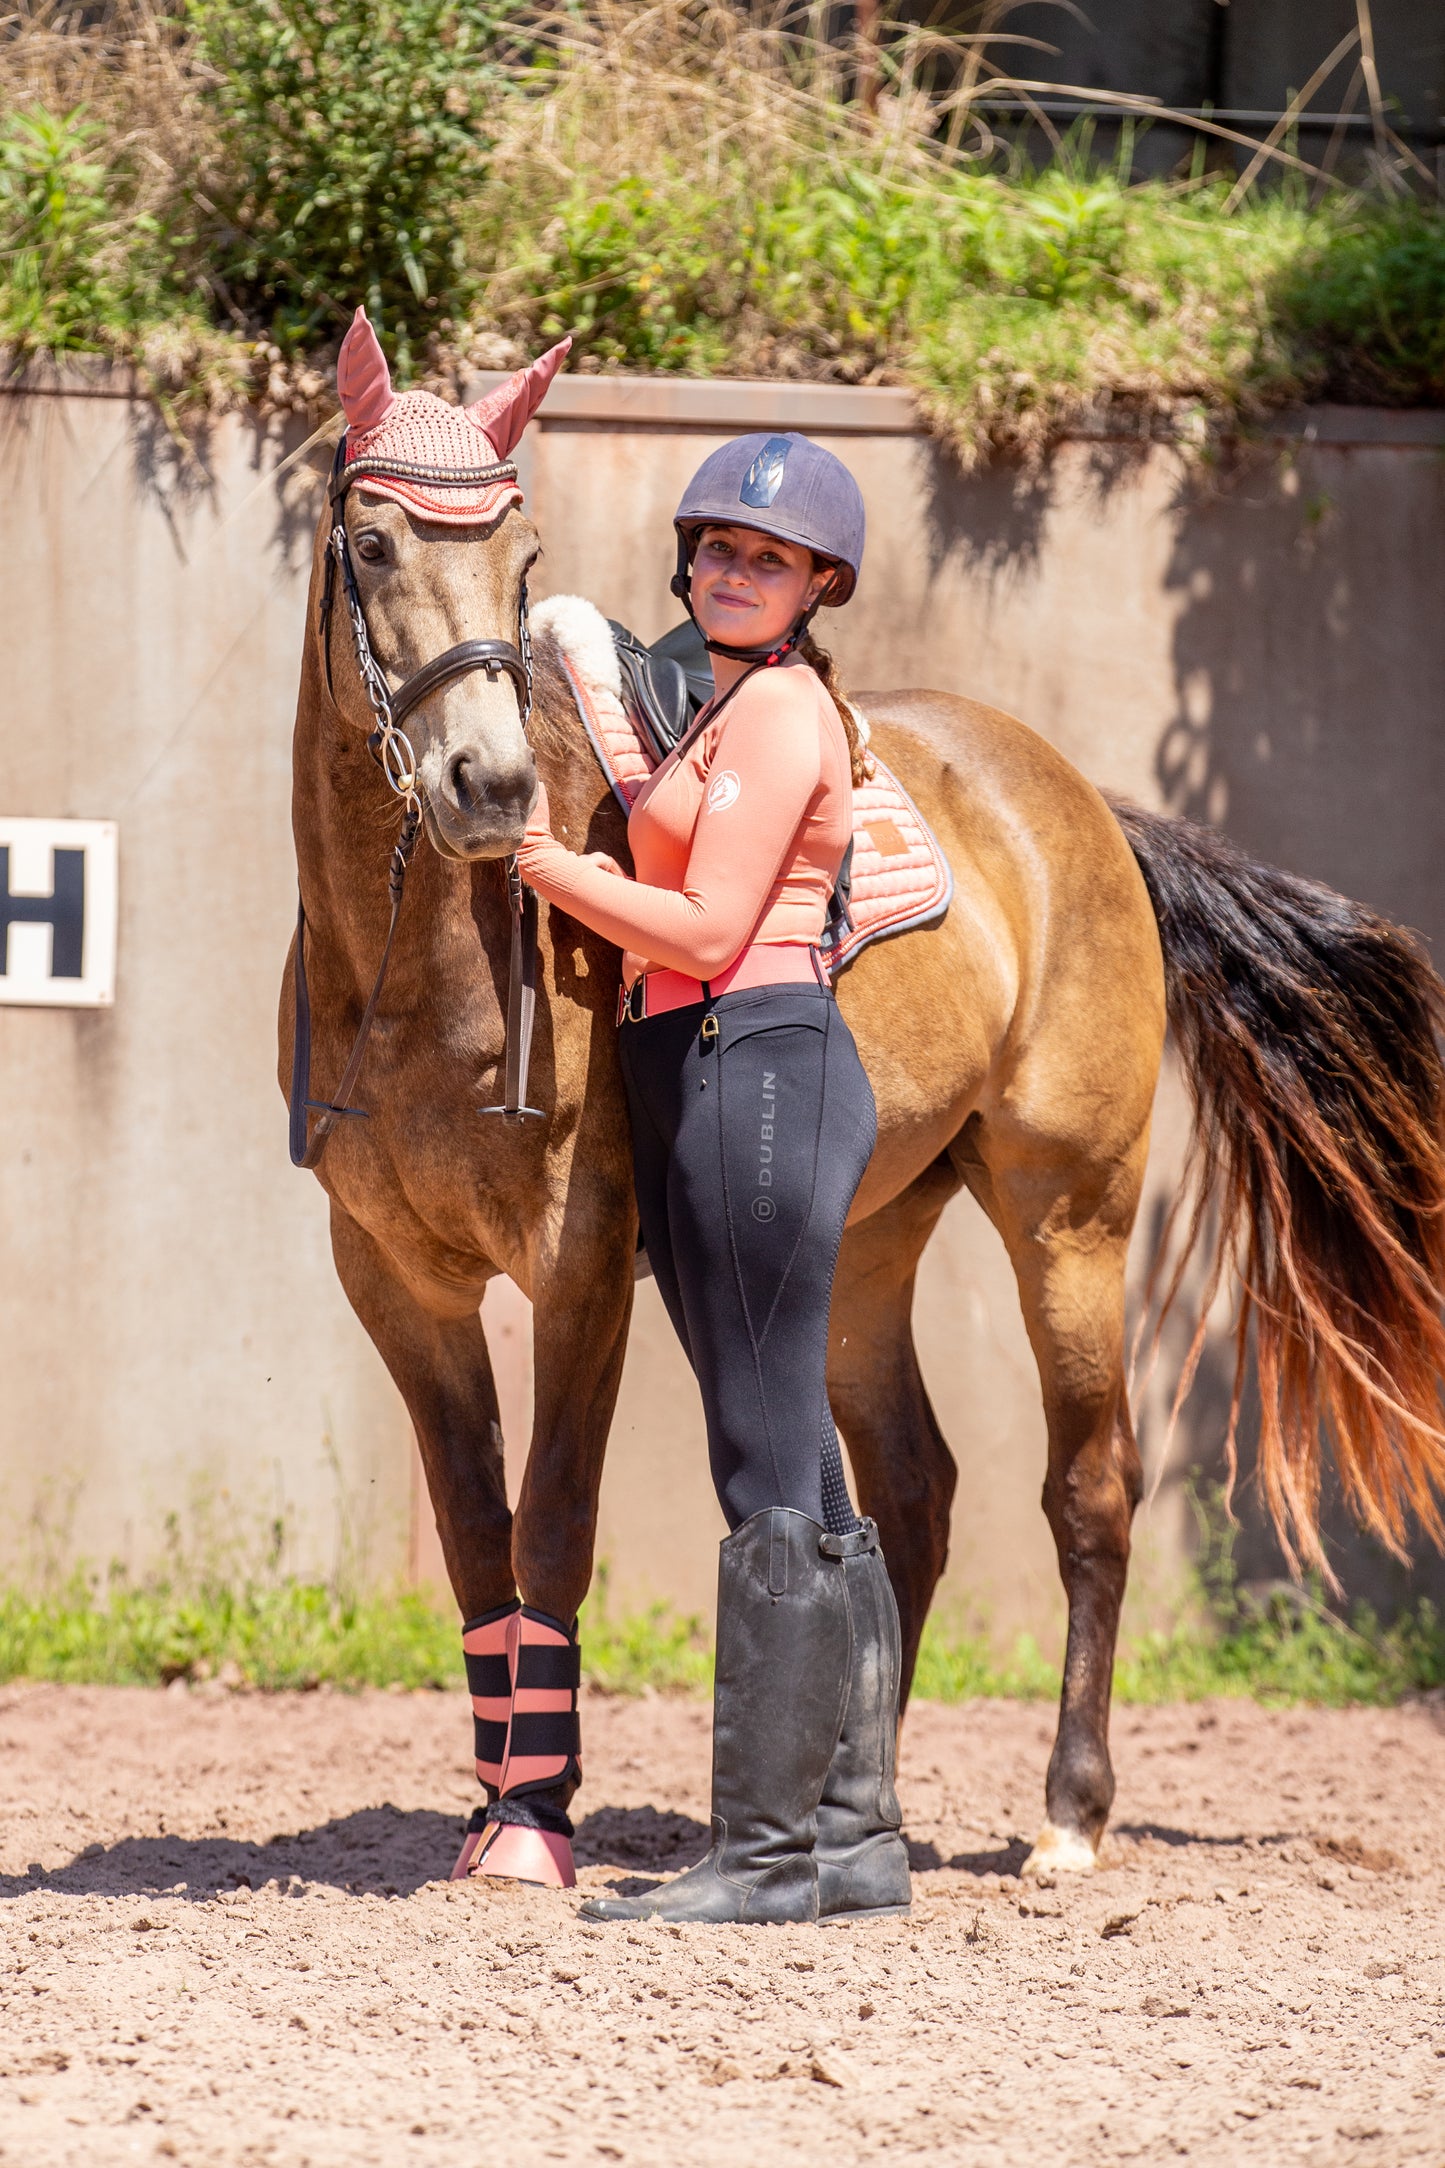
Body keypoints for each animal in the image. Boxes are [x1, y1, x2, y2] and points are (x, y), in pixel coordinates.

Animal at [279, 407, 1445, 1881]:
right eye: (372, 546)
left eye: (522, 553)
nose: (486, 787)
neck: (421, 973)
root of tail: (1083, 803)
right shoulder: (392, 1281)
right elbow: (477, 1539)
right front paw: (497, 1806)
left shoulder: (578, 1269)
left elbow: (550, 1522)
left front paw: (534, 1826)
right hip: (860, 1248)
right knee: (913, 1489)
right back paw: (850, 1806)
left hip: (1069, 1217)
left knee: (1090, 1487)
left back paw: (1069, 1814)